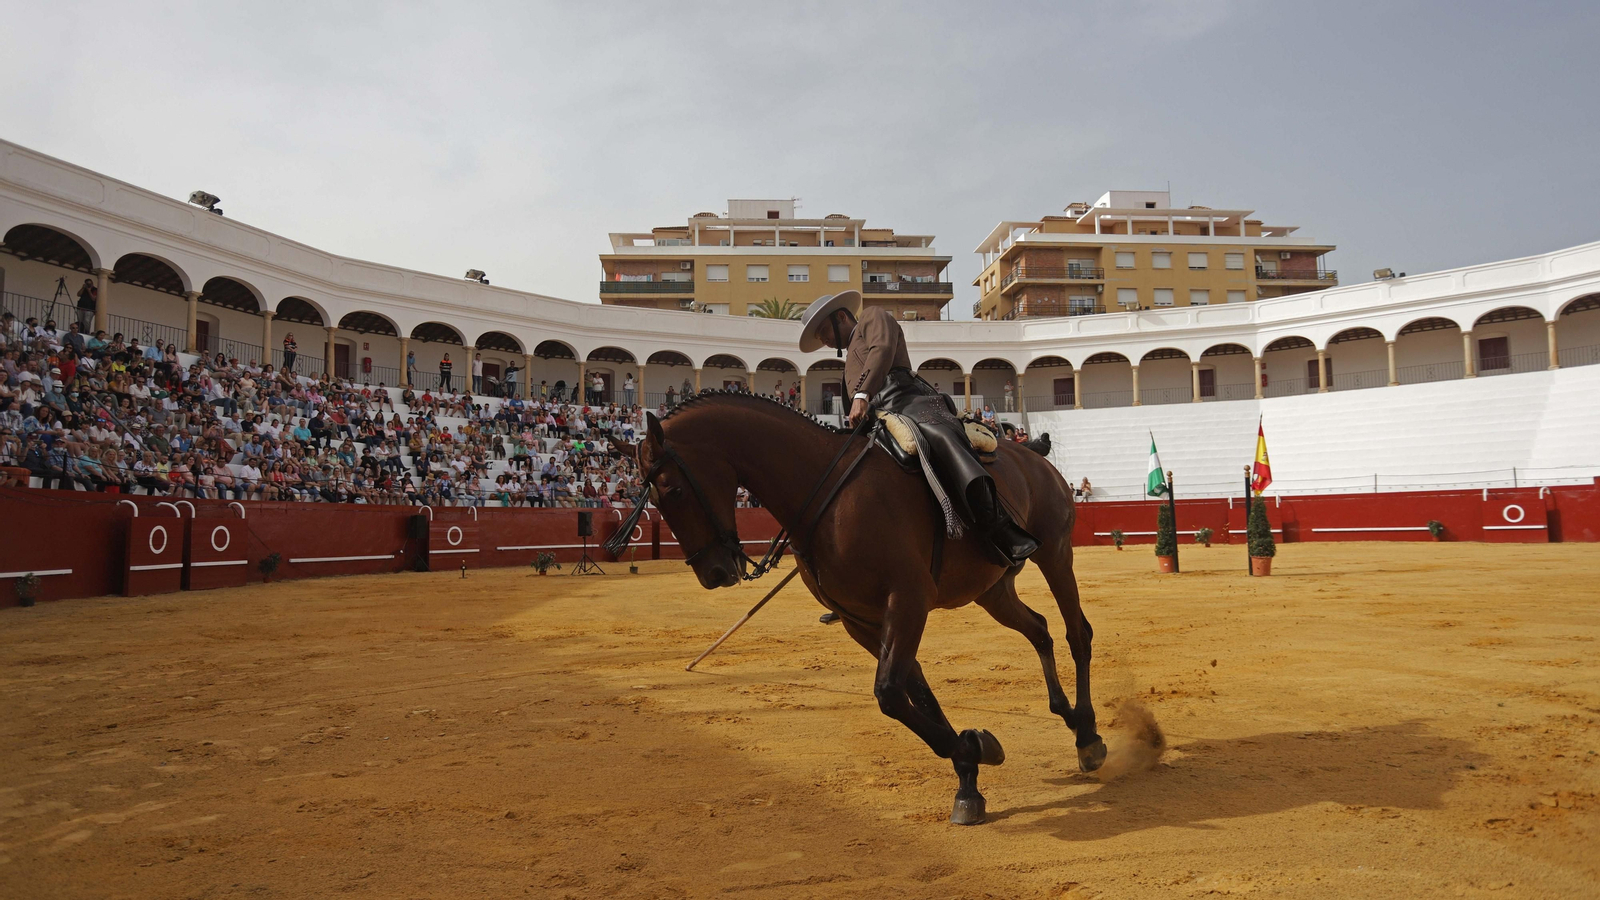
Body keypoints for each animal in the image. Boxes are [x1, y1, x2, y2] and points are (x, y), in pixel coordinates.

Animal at [632, 391, 1105, 825]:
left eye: (673, 489)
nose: (714, 573)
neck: (826, 493)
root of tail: (1030, 452)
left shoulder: (908, 599)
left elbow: (890, 692)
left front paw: (974, 750)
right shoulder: (859, 620)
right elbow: (914, 693)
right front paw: (969, 772)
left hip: (1055, 554)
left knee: (1077, 632)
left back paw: (1087, 734)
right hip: (992, 589)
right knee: (1039, 628)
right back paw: (1066, 715)